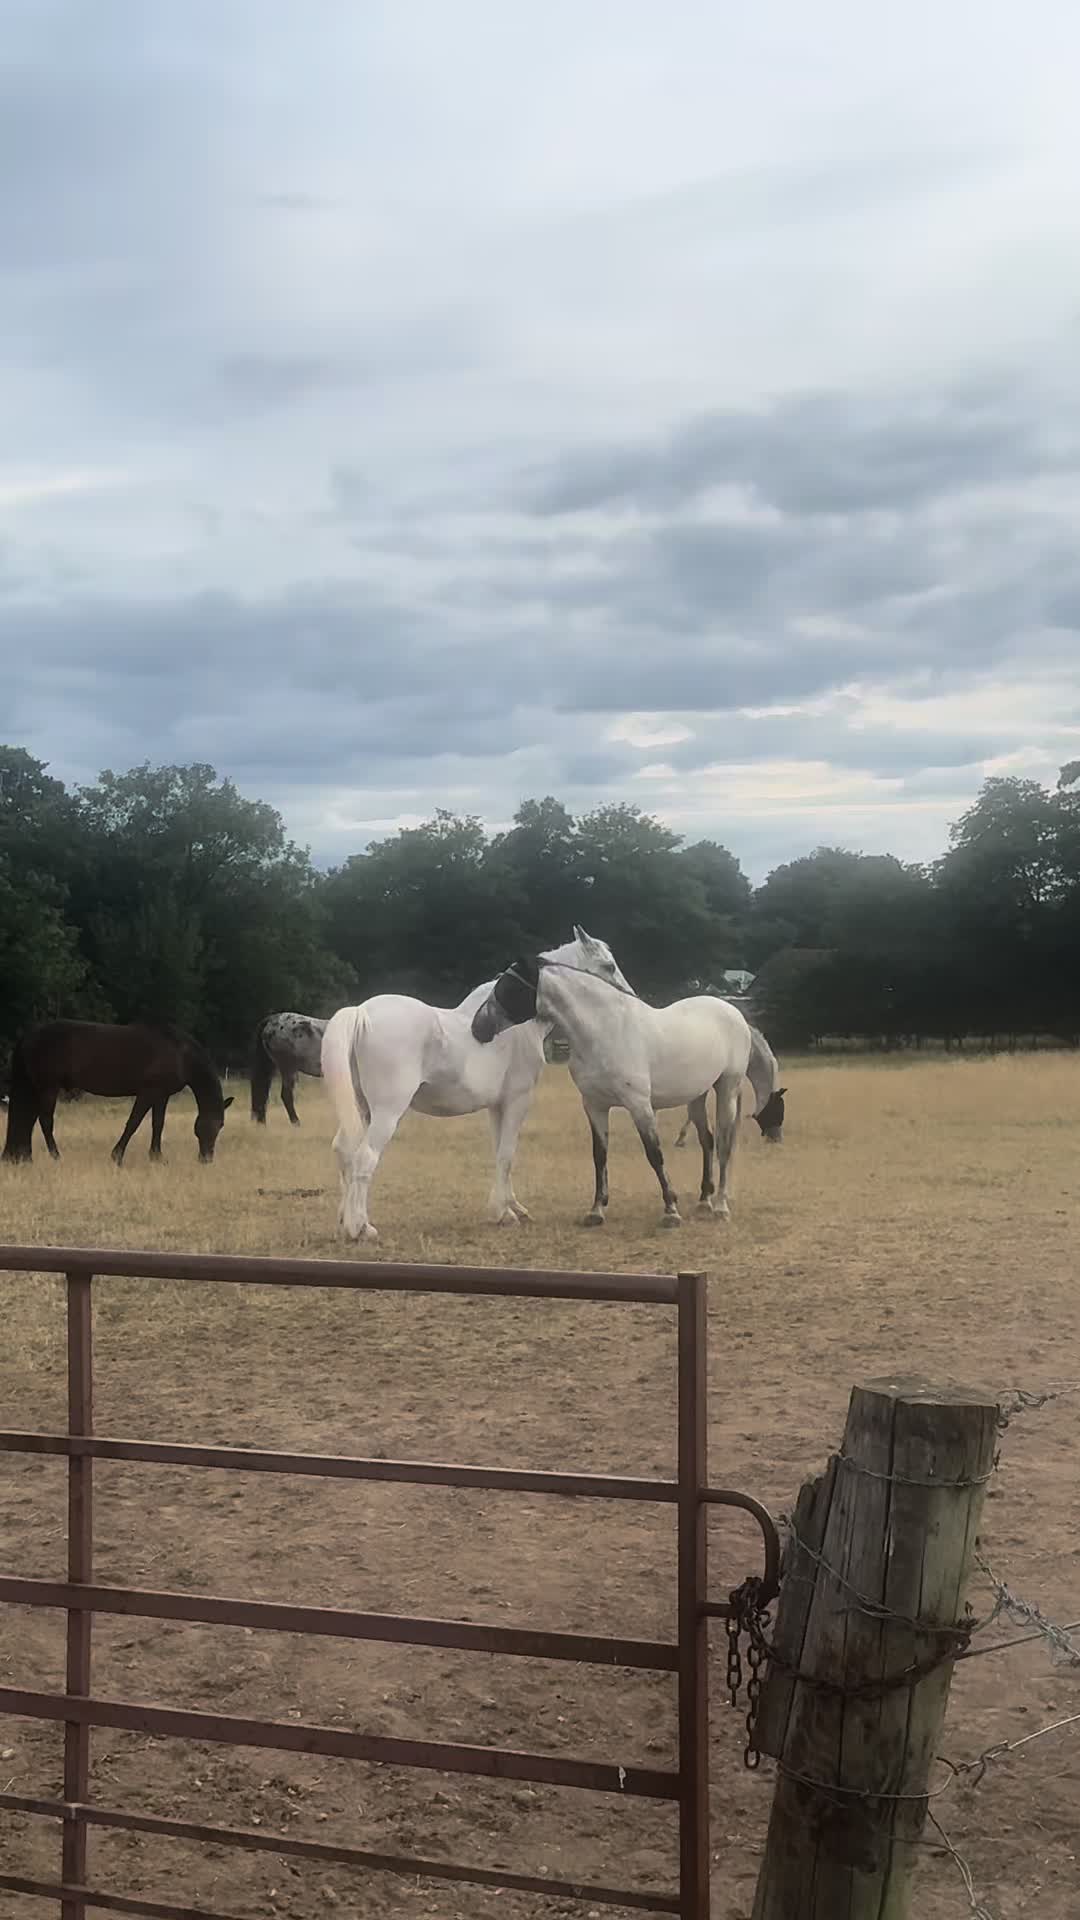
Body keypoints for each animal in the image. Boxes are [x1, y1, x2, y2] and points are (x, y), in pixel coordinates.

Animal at [2, 1020, 233, 1165]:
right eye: (216, 1125)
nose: (206, 1159)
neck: (181, 1055)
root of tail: (29, 1036)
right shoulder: (148, 1093)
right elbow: (133, 1123)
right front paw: (117, 1156)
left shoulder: (161, 1095)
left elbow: (157, 1124)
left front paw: (157, 1157)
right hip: (48, 1087)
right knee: (44, 1121)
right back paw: (55, 1156)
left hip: (37, 1087)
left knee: (29, 1119)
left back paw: (25, 1158)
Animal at [321, 979, 549, 1242]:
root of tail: (362, 1011)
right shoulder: (517, 1100)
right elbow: (507, 1155)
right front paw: (505, 1214)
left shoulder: (496, 1106)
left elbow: (500, 1152)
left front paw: (510, 1208)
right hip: (387, 1112)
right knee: (364, 1158)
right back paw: (360, 1228)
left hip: (362, 1109)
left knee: (343, 1151)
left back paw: (346, 1222)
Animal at [470, 927, 786, 1229]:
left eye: (508, 987)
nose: (478, 1027)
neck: (606, 1031)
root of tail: (733, 1011)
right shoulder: (594, 1106)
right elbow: (599, 1156)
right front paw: (596, 1211)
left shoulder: (639, 1105)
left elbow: (654, 1154)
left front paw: (671, 1211)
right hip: (697, 1094)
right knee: (707, 1141)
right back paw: (704, 1201)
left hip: (727, 1088)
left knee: (723, 1142)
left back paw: (720, 1206)